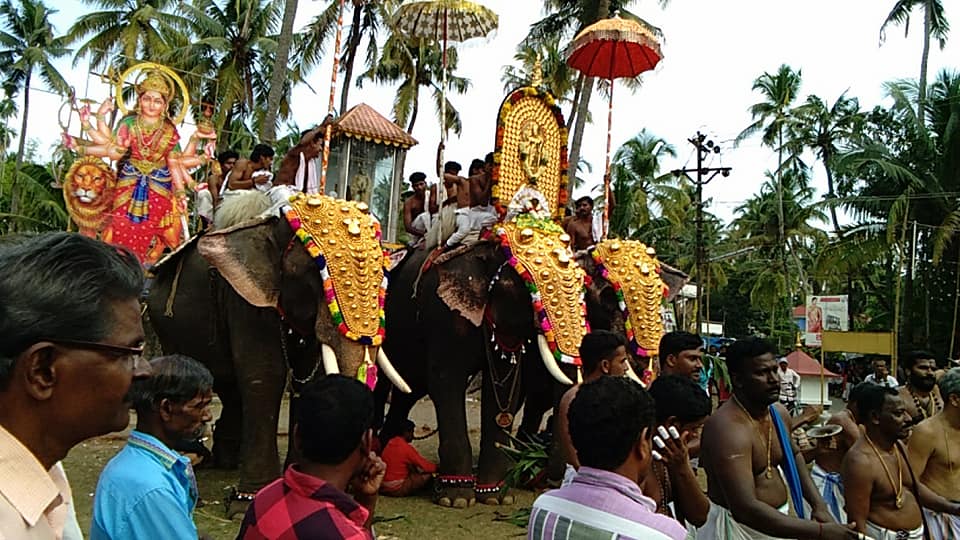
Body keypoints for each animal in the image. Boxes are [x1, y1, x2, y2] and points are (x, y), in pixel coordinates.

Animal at [146, 191, 408, 516]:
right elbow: (265, 375)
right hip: (164, 324)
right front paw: (246, 503)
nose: (362, 469)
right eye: (314, 273)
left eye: (384, 276)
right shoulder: (246, 299)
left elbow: (309, 379)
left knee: (230, 386)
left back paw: (227, 460)